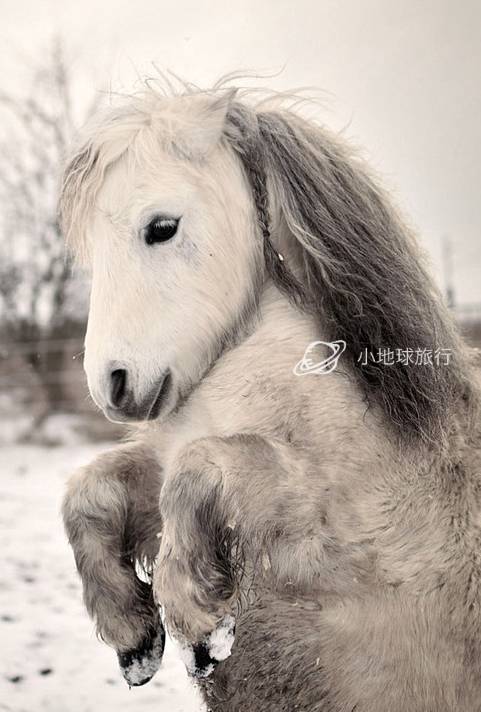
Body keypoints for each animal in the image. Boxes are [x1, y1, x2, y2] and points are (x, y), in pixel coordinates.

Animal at [59, 80, 480, 708]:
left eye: (161, 227)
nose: (113, 385)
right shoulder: (158, 476)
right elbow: (90, 491)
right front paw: (133, 637)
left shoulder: (311, 529)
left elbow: (198, 469)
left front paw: (200, 626)